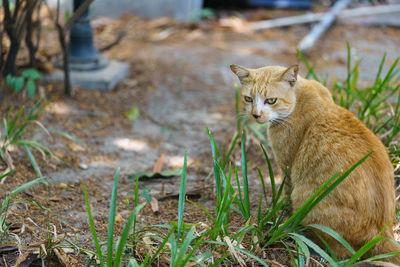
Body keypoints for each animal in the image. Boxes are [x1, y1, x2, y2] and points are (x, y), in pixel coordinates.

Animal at [231, 63, 400, 264]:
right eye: (248, 99)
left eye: (271, 100)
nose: (255, 115)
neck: (300, 96)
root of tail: (382, 233)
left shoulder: (286, 168)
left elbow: (286, 198)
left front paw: (283, 217)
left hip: (306, 200)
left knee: (341, 252)